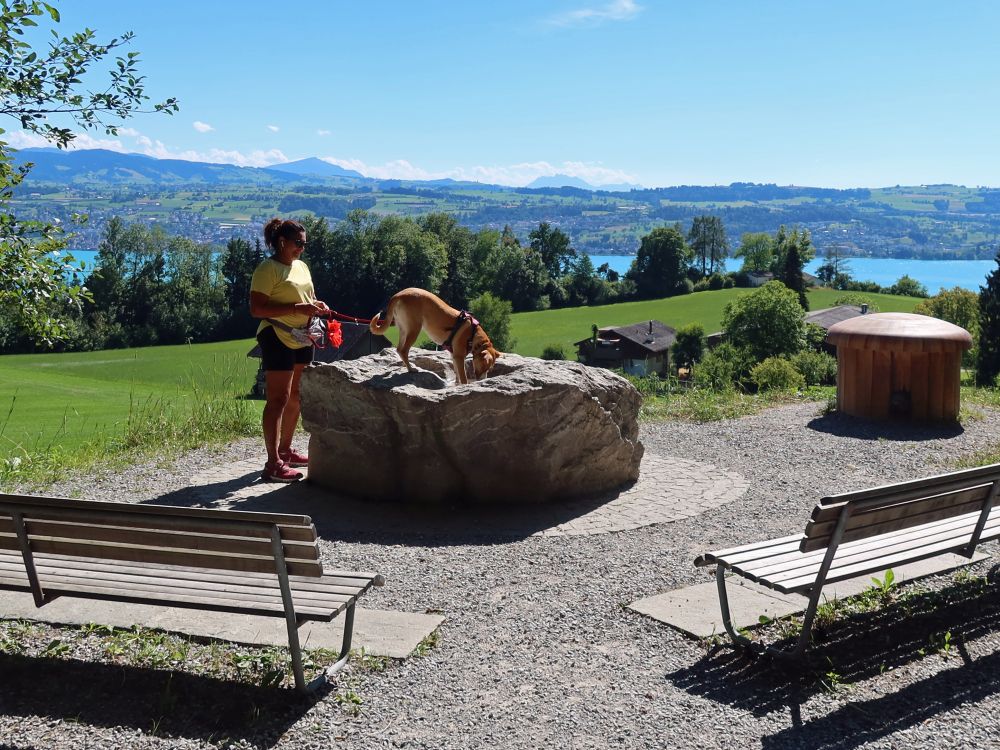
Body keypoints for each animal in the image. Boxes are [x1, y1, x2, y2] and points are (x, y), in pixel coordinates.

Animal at [370, 286, 500, 384]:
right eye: (485, 366)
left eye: (489, 368)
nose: (483, 381)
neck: (474, 334)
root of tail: (398, 295)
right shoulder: (459, 357)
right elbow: (463, 378)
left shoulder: (454, 356)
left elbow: (457, 374)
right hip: (414, 329)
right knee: (403, 350)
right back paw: (411, 369)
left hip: (403, 329)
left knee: (399, 349)